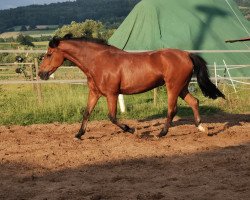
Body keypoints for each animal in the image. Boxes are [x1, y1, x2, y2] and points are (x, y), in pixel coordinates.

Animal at [38, 34, 225, 140]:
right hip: (182, 88)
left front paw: (133, 130)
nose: (41, 74)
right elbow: (86, 113)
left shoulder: (112, 94)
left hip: (173, 87)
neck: (98, 61)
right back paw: (202, 128)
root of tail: (186, 54)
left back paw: (160, 134)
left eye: (49, 54)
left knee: (172, 110)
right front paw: (78, 135)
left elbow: (112, 117)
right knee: (194, 102)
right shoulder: (95, 93)